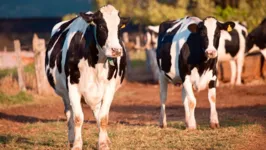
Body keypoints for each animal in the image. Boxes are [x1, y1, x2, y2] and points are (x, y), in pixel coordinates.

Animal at [45, 4, 130, 150]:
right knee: (69, 114)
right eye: (101, 26)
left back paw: (105, 139)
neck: (95, 63)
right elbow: (78, 118)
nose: (116, 50)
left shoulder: (109, 88)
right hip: (65, 94)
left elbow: (103, 118)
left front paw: (103, 144)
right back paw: (71, 139)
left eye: (119, 27)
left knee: (97, 113)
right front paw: (77, 145)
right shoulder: (72, 87)